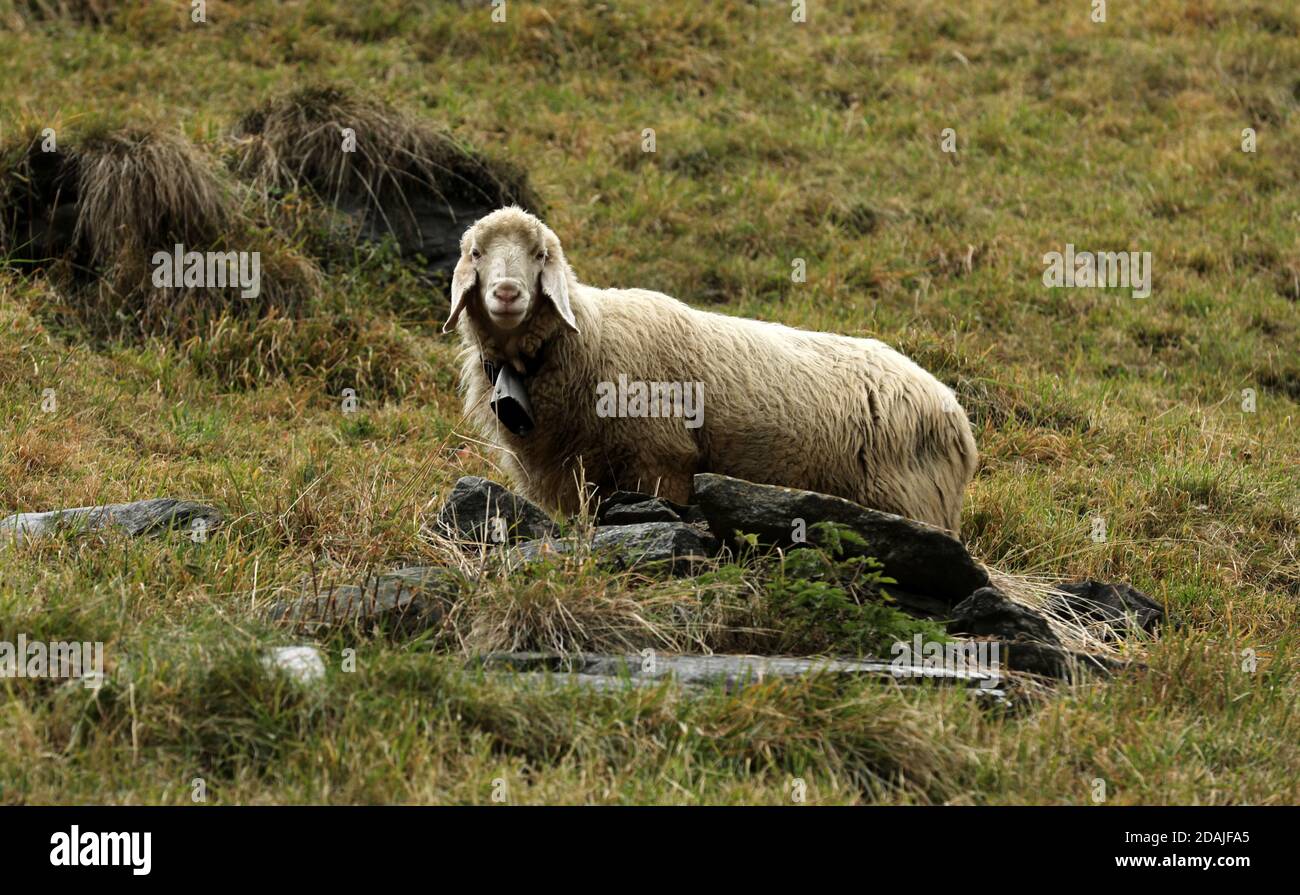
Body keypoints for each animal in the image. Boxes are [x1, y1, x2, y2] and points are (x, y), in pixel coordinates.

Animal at [444, 207, 978, 535]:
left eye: (540, 255)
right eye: (476, 253)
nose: (507, 293)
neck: (587, 335)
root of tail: (954, 412)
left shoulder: (662, 461)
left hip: (913, 500)